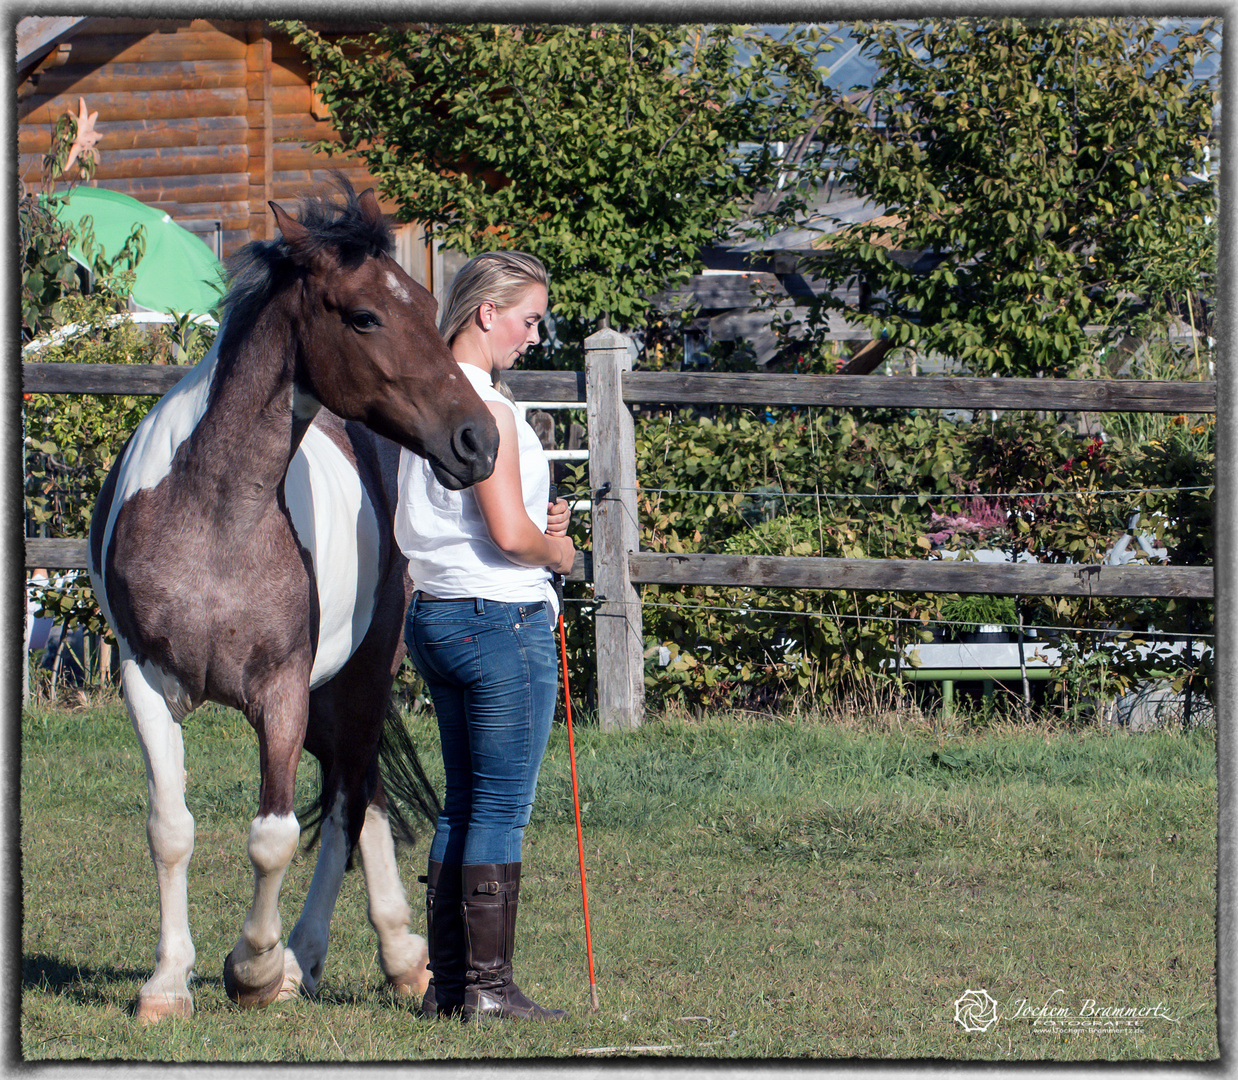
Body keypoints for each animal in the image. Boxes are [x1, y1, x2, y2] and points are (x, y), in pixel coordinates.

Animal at [87, 177, 497, 1020]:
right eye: (367, 315)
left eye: (422, 302)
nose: (478, 440)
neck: (215, 516)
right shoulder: (145, 681)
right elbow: (170, 826)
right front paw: (167, 983)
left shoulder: (280, 691)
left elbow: (272, 834)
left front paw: (252, 968)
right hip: (329, 697)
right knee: (360, 789)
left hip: (357, 679)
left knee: (348, 796)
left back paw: (332, 957)